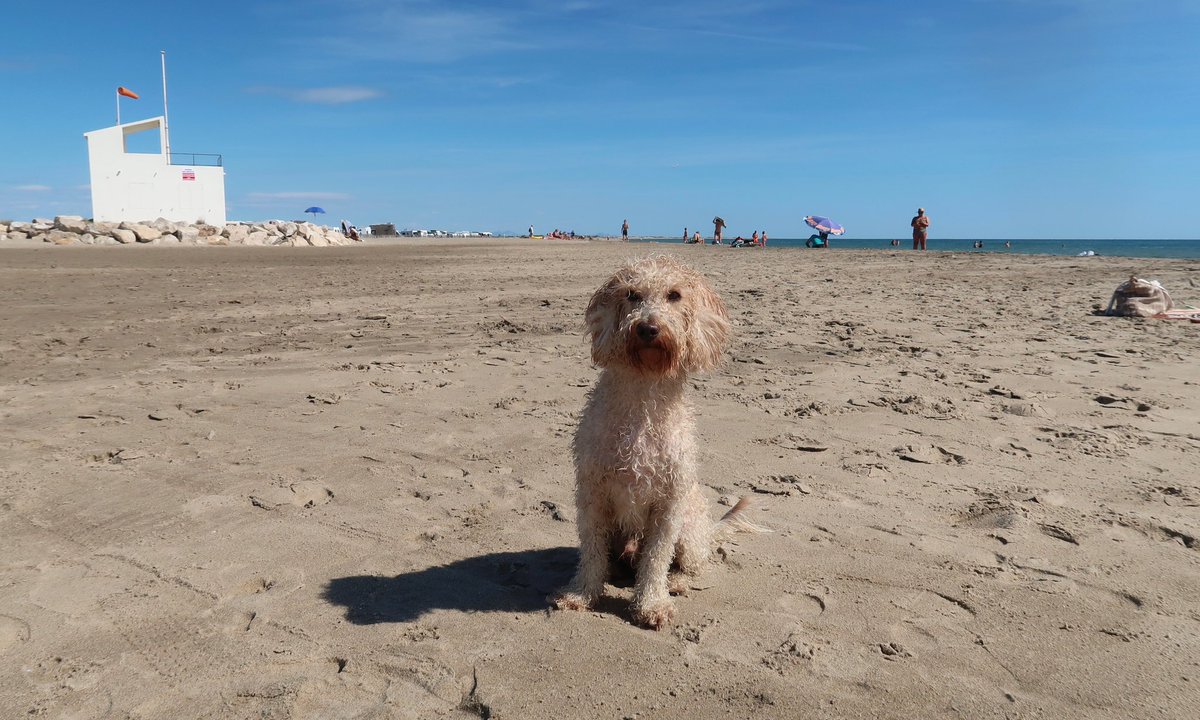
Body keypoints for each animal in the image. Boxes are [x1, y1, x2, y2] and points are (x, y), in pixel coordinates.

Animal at [552, 255, 758, 628]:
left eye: (674, 295)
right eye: (632, 294)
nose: (647, 328)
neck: (644, 392)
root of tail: (709, 530)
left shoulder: (668, 504)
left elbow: (656, 558)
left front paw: (651, 604)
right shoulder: (592, 493)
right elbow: (591, 552)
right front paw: (582, 594)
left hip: (689, 532)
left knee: (693, 565)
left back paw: (675, 582)